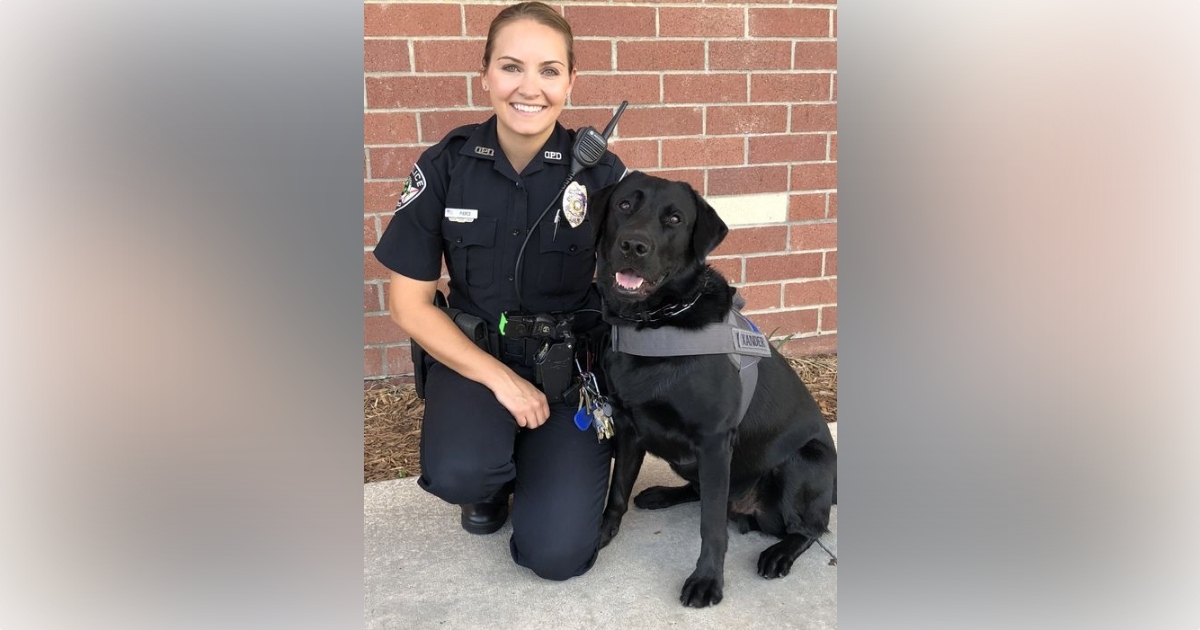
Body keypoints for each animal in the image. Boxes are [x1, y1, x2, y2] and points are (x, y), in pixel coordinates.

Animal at [588, 170, 835, 604]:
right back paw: (663, 494)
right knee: (702, 493)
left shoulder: (715, 441)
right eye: (624, 205)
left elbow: (711, 526)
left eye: (674, 219)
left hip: (807, 461)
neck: (657, 323)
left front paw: (706, 580)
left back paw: (780, 553)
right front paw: (602, 534)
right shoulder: (630, 427)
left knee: (808, 528)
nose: (633, 245)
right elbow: (616, 492)